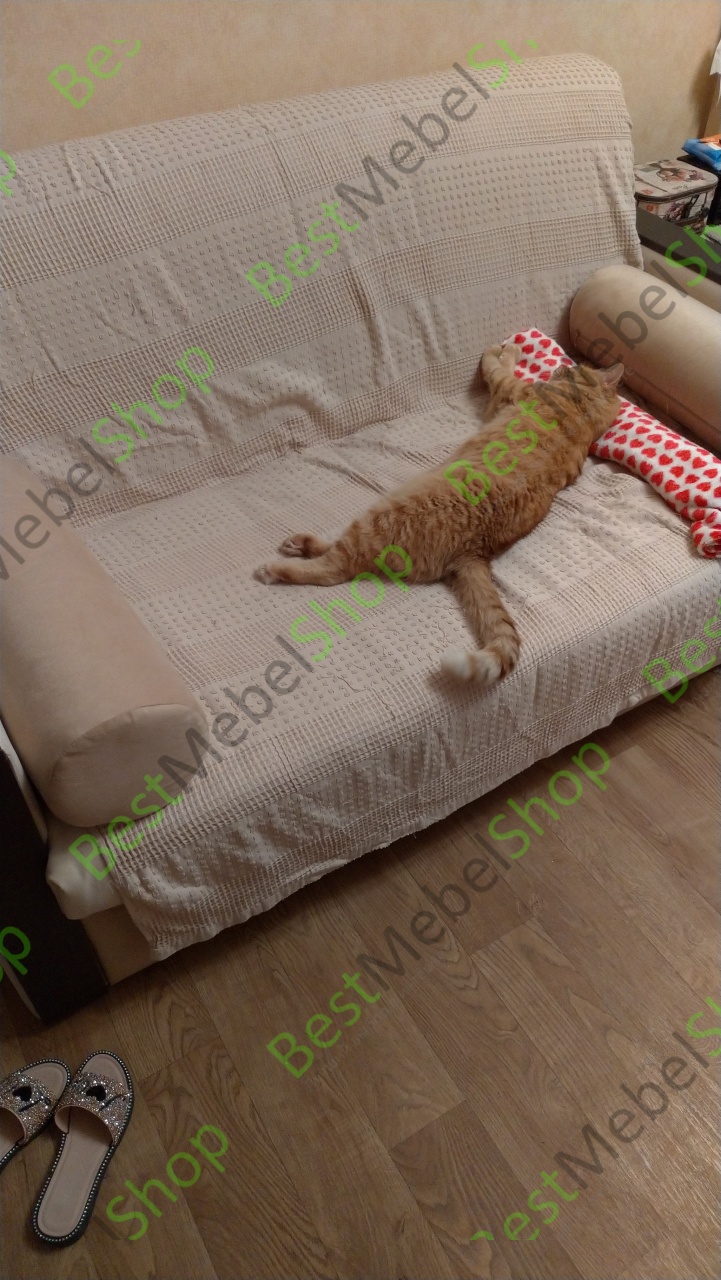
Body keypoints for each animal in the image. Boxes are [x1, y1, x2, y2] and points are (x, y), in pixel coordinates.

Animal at [253, 343, 624, 687]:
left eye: (574, 365)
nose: (563, 364)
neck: (582, 410)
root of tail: (474, 551)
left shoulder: (506, 391)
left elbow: (496, 366)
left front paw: (505, 350)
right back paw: (299, 544)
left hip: (381, 514)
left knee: (335, 568)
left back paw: (277, 568)